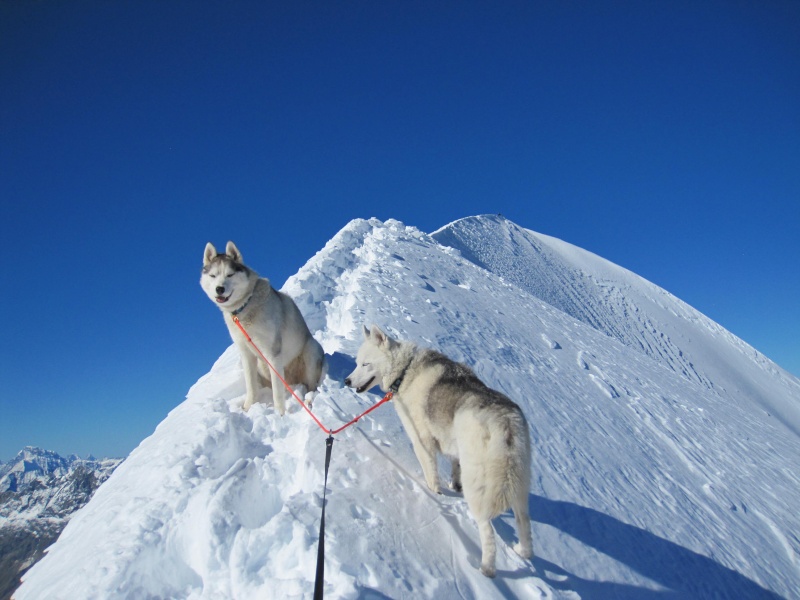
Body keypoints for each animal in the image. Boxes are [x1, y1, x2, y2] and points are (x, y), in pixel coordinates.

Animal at [200, 241, 324, 414]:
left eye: (229, 275)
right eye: (213, 276)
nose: (219, 289)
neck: (245, 306)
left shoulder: (272, 353)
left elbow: (277, 393)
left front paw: (280, 414)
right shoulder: (247, 354)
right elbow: (251, 388)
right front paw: (247, 408)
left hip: (311, 350)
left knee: (311, 385)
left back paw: (309, 400)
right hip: (263, 366)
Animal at [344, 326, 532, 580]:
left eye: (365, 364)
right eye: (356, 363)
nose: (346, 381)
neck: (405, 372)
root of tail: (506, 423)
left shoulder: (421, 441)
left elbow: (430, 473)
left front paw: (434, 494)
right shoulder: (452, 450)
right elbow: (453, 467)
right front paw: (453, 486)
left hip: (478, 487)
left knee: (487, 530)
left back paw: (486, 568)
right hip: (519, 486)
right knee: (524, 522)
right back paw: (522, 551)